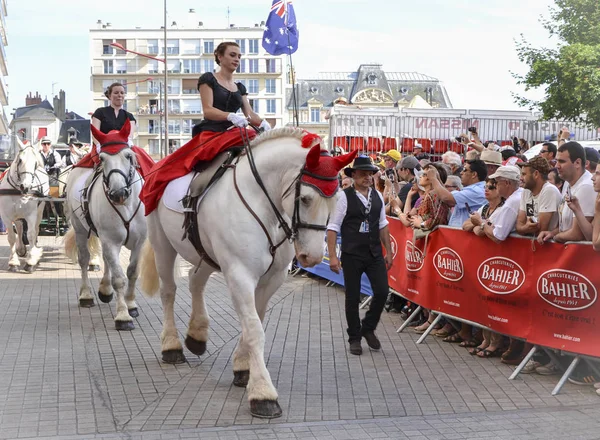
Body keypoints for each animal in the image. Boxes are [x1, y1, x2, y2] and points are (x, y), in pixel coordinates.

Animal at [0, 139, 49, 274]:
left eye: (35, 163)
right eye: (20, 160)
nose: (26, 186)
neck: (16, 191)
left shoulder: (31, 214)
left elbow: (31, 235)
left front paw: (31, 262)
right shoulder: (6, 216)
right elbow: (11, 237)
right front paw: (13, 262)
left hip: (40, 211)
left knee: (35, 230)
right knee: (19, 226)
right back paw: (21, 248)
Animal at [64, 118, 146, 328]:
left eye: (128, 155)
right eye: (101, 159)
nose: (118, 194)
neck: (125, 204)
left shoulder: (139, 242)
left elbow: (132, 272)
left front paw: (131, 305)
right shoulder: (110, 240)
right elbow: (119, 278)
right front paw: (123, 316)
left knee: (107, 260)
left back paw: (105, 290)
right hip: (80, 230)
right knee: (84, 260)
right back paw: (86, 295)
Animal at [139, 128, 356, 420]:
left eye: (336, 200)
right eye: (305, 199)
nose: (312, 257)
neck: (263, 204)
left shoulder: (272, 278)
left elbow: (257, 320)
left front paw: (243, 367)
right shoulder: (239, 275)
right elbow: (254, 328)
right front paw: (263, 392)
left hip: (206, 255)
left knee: (195, 281)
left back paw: (196, 335)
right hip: (162, 242)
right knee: (169, 291)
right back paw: (172, 346)